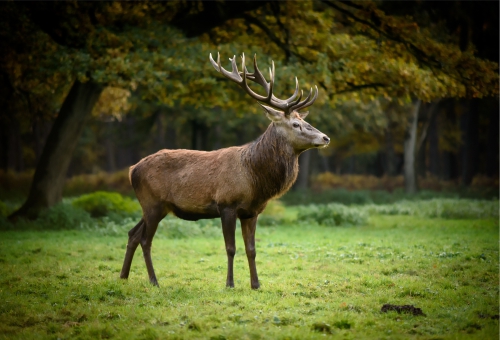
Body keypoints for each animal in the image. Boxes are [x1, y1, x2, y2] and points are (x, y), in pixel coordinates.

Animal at [117, 51, 328, 288]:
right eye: (295, 124)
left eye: (303, 120)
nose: (325, 137)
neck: (255, 180)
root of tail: (132, 169)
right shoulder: (226, 204)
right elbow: (230, 248)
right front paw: (230, 284)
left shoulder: (252, 211)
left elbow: (251, 249)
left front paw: (256, 285)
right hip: (152, 202)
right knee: (145, 239)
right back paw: (154, 281)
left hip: (156, 206)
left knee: (133, 233)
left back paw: (123, 276)